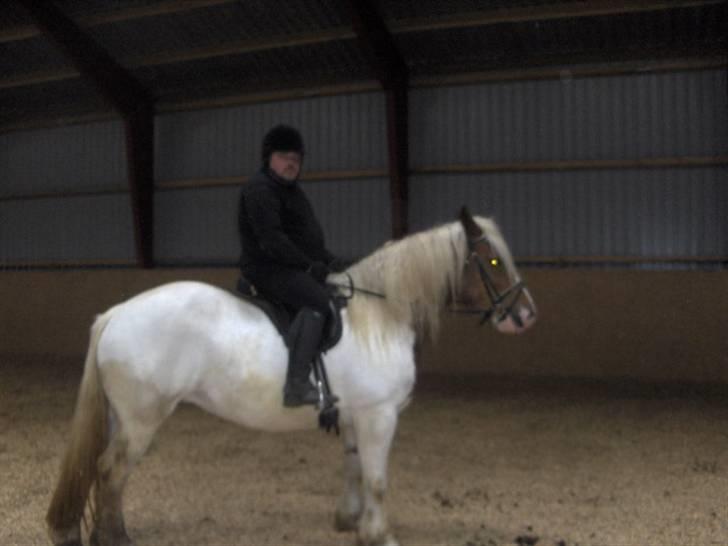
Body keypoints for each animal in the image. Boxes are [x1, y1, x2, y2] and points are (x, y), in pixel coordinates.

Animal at [45, 207, 536, 544]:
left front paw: (348, 521)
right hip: (142, 418)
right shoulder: (379, 415)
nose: (526, 315)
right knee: (112, 470)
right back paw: (116, 538)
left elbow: (353, 467)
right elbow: (377, 478)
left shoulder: (356, 415)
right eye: (493, 262)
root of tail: (116, 313)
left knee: (107, 472)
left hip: (121, 416)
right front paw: (379, 534)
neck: (379, 315)